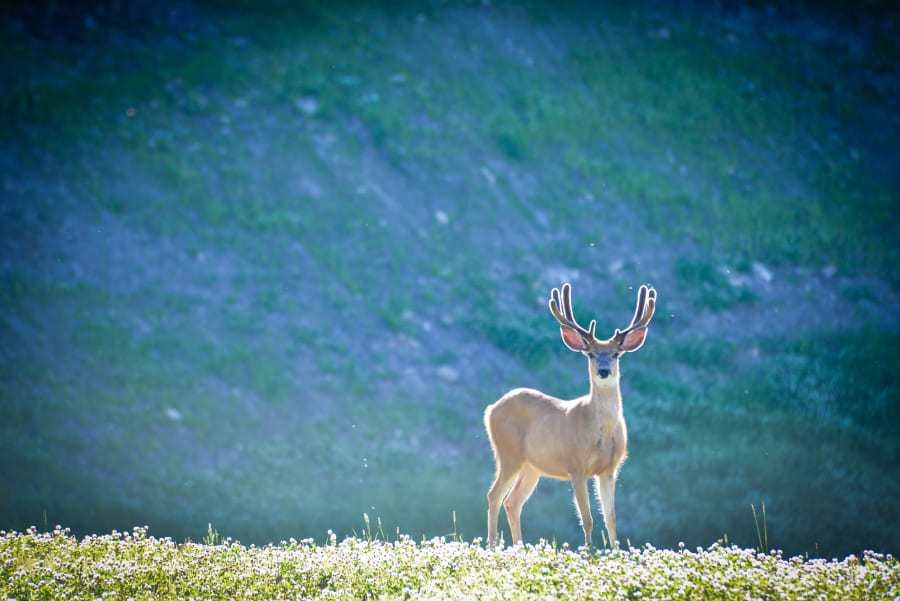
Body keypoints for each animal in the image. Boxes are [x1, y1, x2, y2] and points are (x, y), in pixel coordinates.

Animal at [486, 284, 652, 548]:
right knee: (494, 495)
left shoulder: (609, 470)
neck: (600, 432)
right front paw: (590, 550)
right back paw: (493, 547)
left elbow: (611, 518)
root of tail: (491, 409)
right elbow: (587, 518)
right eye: (591, 354)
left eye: (616, 354)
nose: (603, 371)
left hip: (532, 465)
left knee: (512, 502)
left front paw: (616, 550)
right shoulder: (576, 465)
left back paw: (519, 548)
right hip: (508, 453)